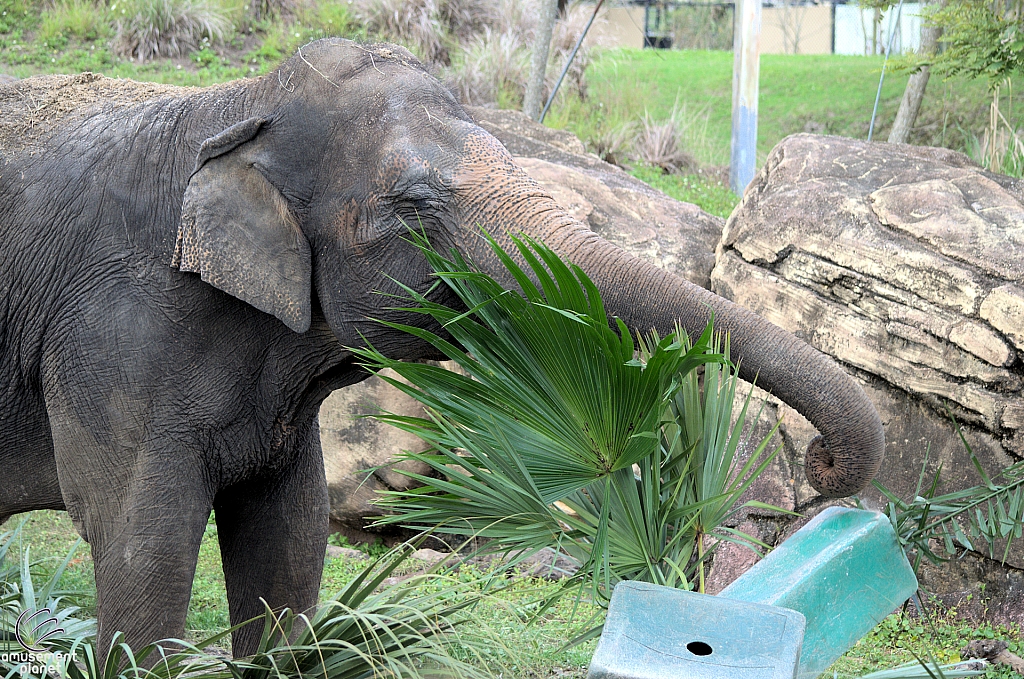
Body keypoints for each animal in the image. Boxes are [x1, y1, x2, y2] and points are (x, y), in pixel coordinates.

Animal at [0, 38, 880, 659]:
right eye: (417, 202)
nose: (825, 466)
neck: (236, 105)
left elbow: (290, 540)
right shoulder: (114, 330)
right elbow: (138, 547)